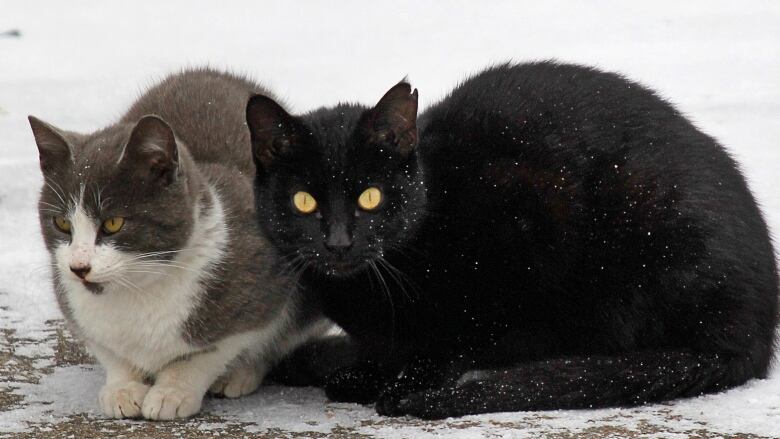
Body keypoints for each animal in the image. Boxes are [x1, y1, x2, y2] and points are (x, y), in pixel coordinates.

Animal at [29, 69, 328, 420]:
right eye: (62, 223)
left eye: (113, 223)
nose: (79, 267)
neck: (137, 289)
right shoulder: (73, 305)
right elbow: (110, 352)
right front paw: (122, 388)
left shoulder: (261, 284)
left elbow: (211, 351)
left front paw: (172, 391)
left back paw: (239, 375)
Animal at [250, 62, 780, 420]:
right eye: (303, 201)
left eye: (370, 196)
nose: (338, 242)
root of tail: (756, 333)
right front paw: (367, 371)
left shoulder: (527, 222)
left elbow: (462, 337)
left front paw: (411, 379)